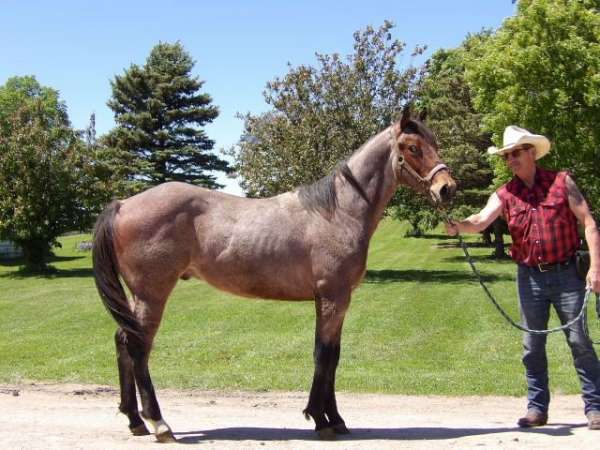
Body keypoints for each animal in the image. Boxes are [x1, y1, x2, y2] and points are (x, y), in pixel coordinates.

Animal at [92, 107, 454, 442]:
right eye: (412, 147)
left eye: (434, 142)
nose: (447, 188)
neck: (337, 213)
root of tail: (123, 204)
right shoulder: (332, 298)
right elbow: (324, 356)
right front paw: (320, 418)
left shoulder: (334, 301)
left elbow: (333, 356)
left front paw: (334, 419)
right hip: (152, 293)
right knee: (138, 348)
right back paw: (159, 423)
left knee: (123, 340)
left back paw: (135, 420)